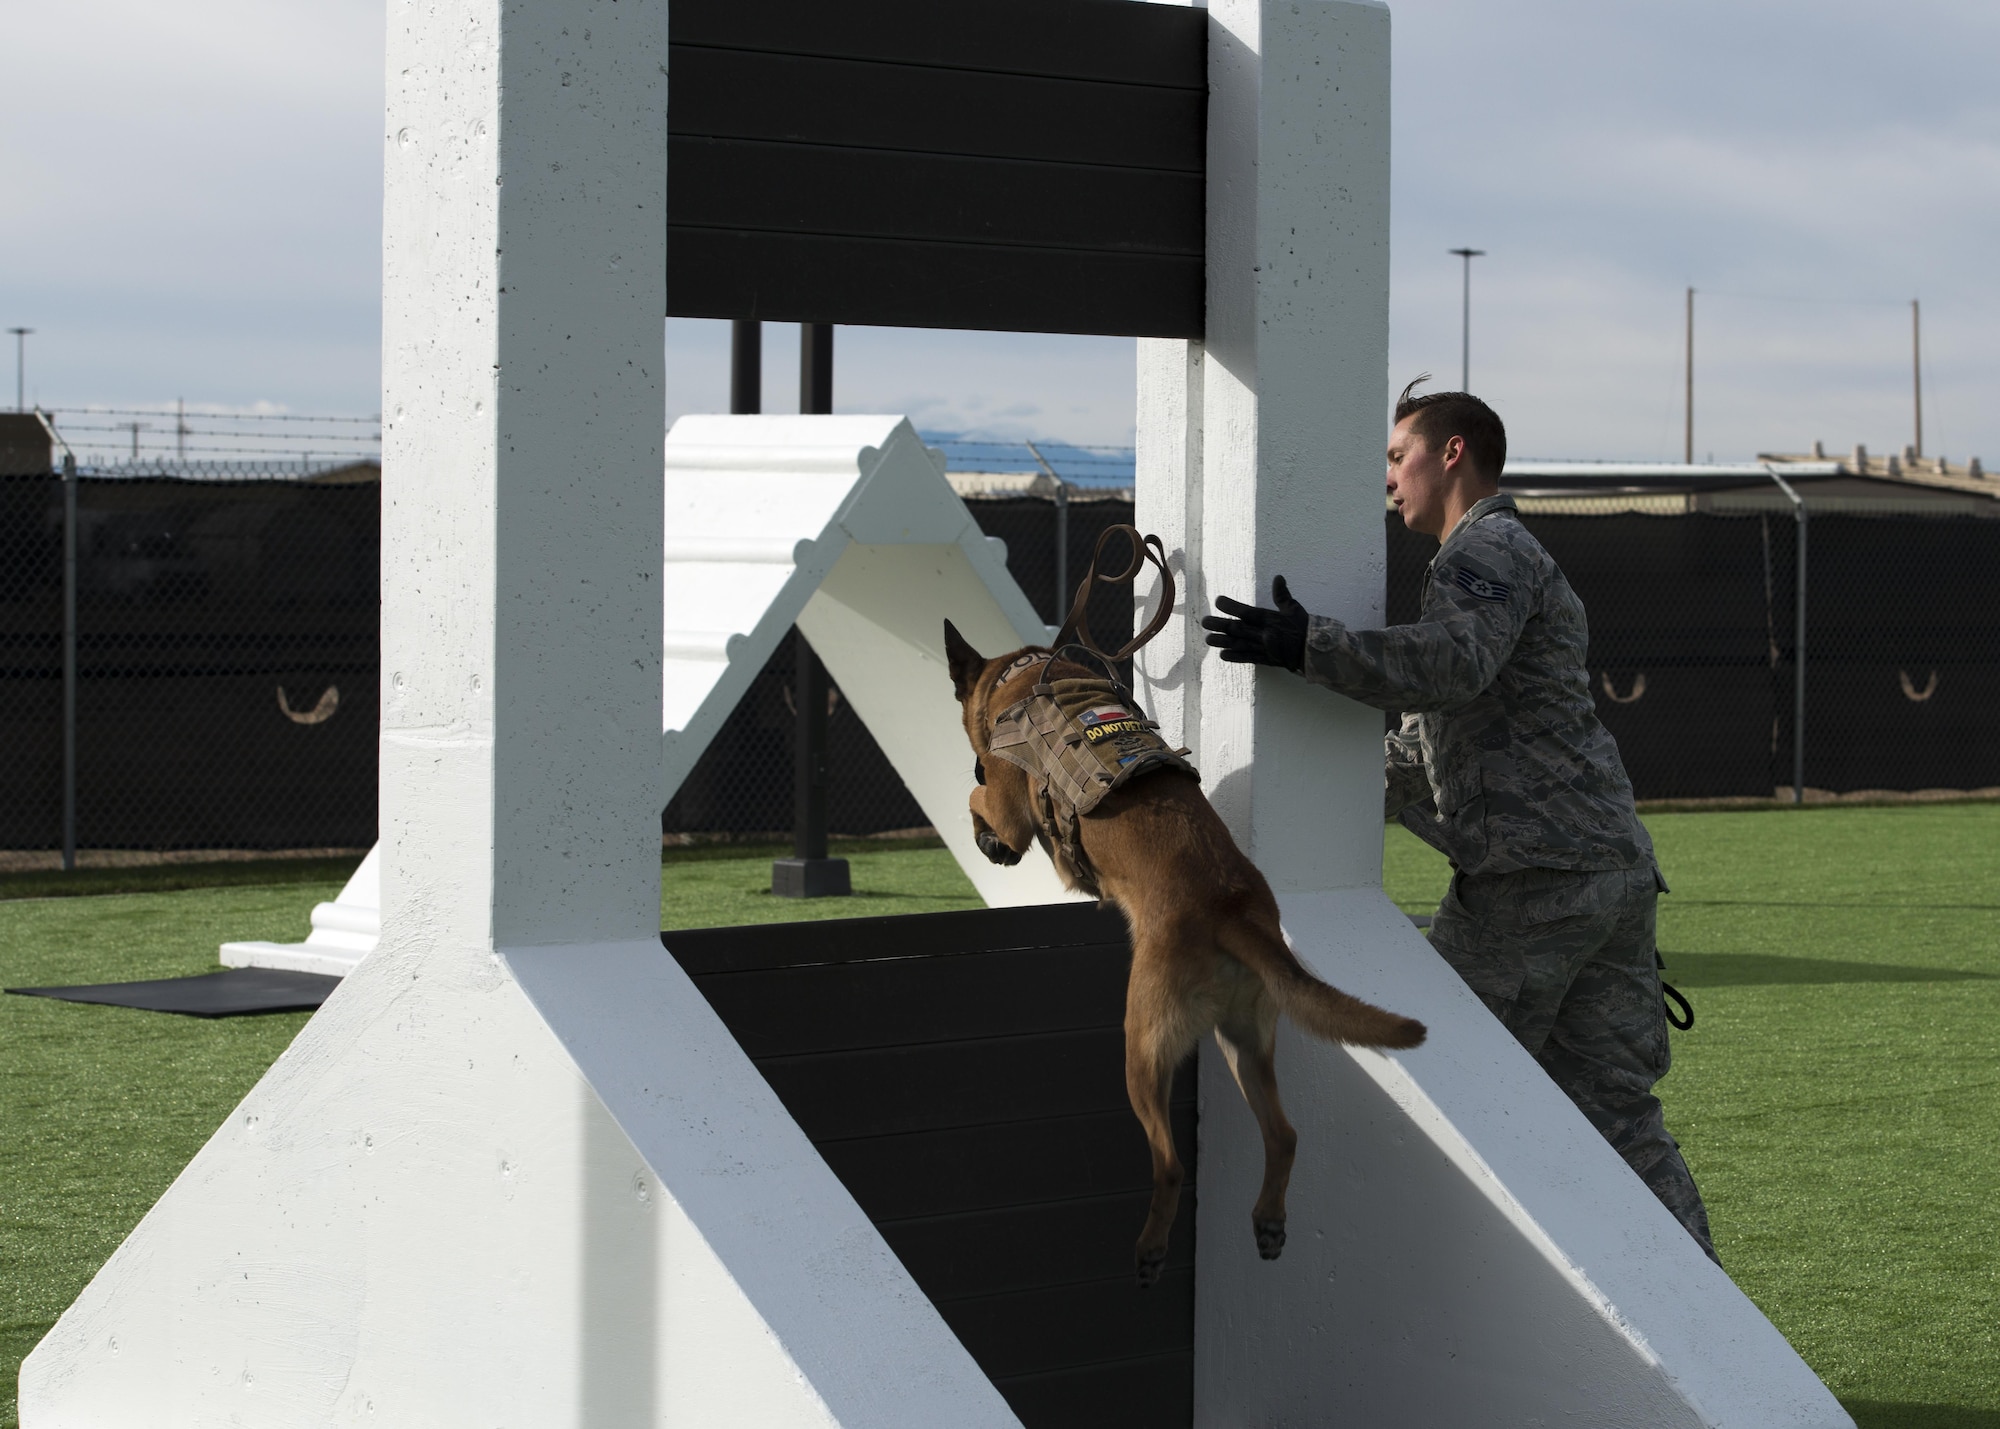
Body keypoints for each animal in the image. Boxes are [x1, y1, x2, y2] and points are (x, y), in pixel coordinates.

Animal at [940, 616, 1424, 1288]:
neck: (1023, 676)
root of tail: (1233, 909)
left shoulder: (1011, 805)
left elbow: (979, 800)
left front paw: (987, 834)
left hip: (1143, 1046)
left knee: (1169, 1162)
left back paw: (1150, 1251)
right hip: (1244, 1043)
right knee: (1284, 1136)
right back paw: (1268, 1223)